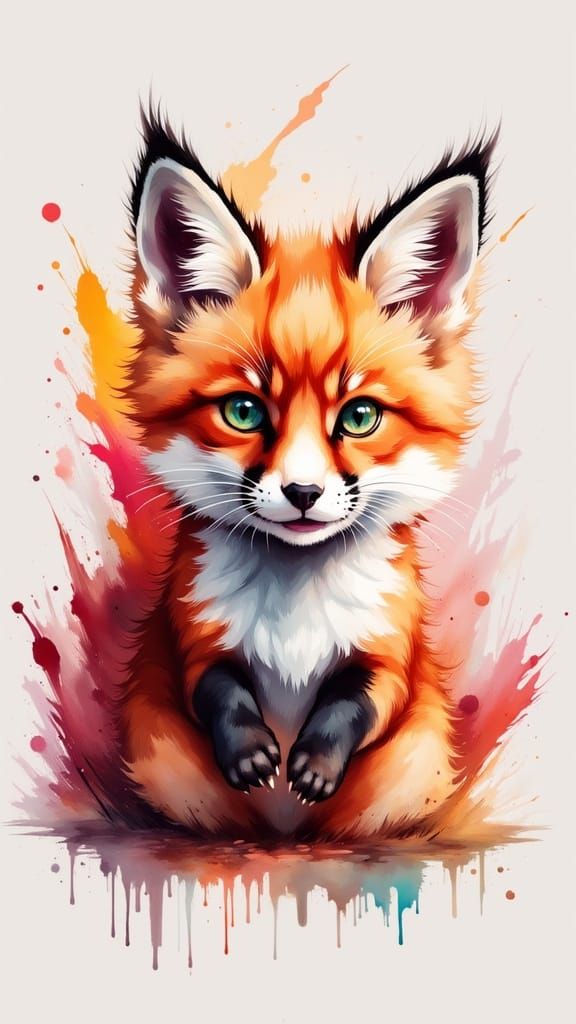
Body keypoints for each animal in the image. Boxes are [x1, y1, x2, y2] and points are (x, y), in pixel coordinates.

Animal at [120, 112, 495, 839]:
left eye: (359, 416)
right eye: (243, 411)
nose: (302, 493)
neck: (294, 612)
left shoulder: (390, 654)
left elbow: (359, 700)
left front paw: (316, 762)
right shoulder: (193, 637)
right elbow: (218, 689)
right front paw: (250, 752)